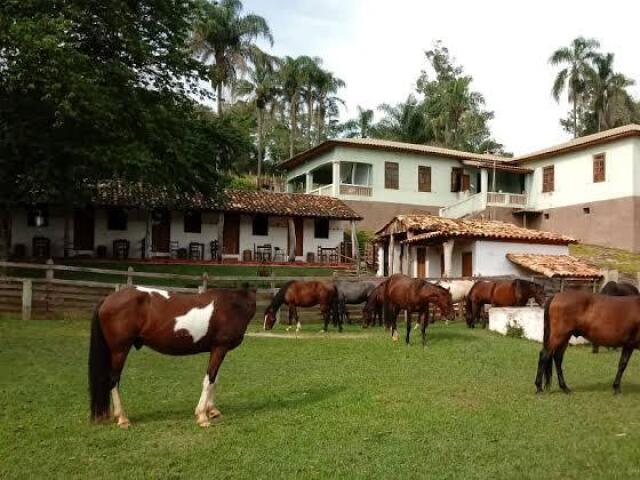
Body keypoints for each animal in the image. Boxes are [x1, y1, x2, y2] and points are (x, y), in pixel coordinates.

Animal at [88, 284, 258, 428]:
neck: (234, 305)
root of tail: (107, 299)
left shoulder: (218, 350)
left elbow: (214, 379)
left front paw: (212, 410)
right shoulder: (220, 347)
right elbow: (209, 380)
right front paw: (202, 416)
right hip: (119, 350)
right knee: (113, 380)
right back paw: (122, 419)